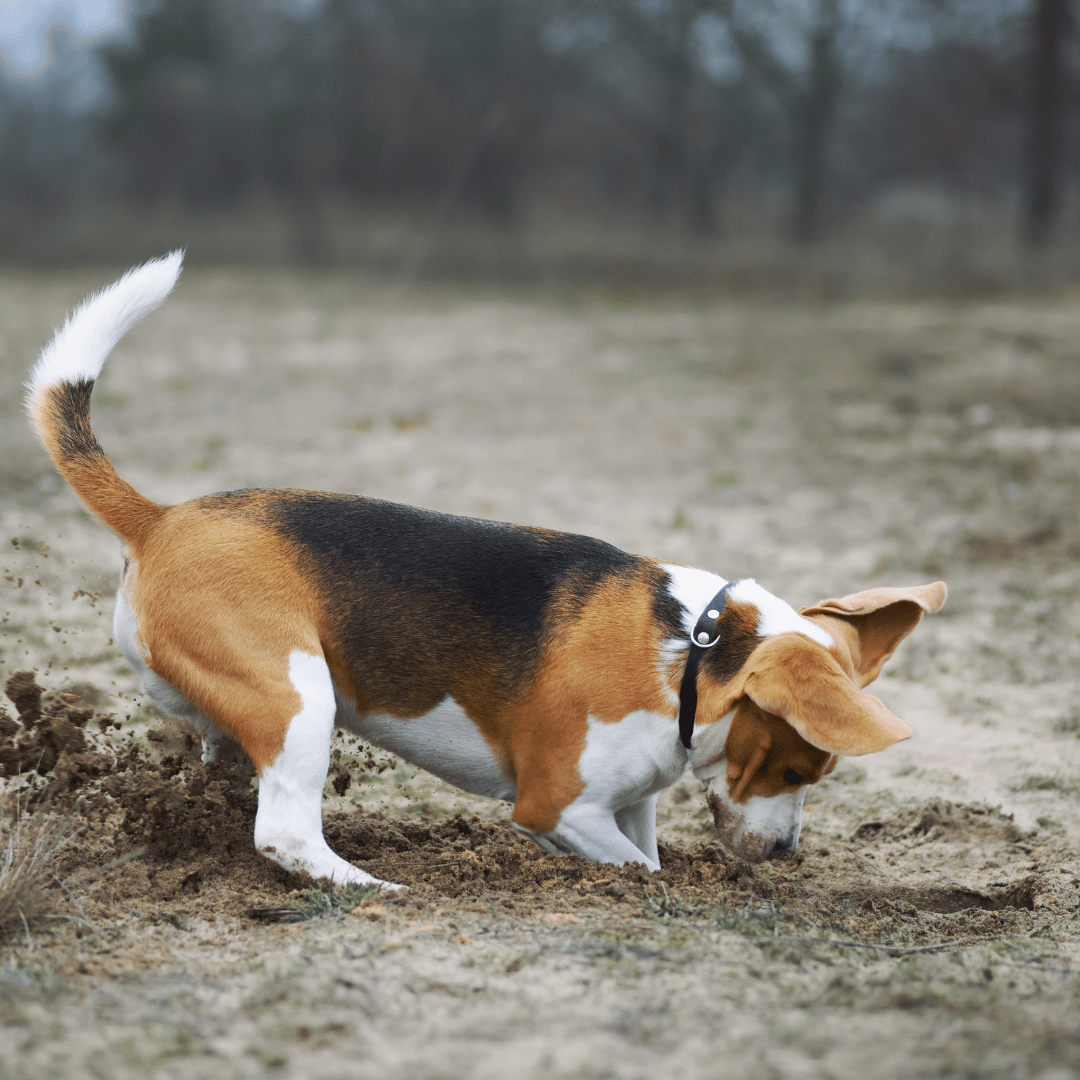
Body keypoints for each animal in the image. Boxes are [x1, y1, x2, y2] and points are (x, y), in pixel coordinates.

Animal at [26, 253, 946, 889]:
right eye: (796, 769)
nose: (785, 853)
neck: (694, 647)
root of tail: (162, 517)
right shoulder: (558, 806)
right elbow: (637, 868)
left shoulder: (634, 797)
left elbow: (648, 847)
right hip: (299, 695)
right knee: (284, 832)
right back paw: (369, 886)